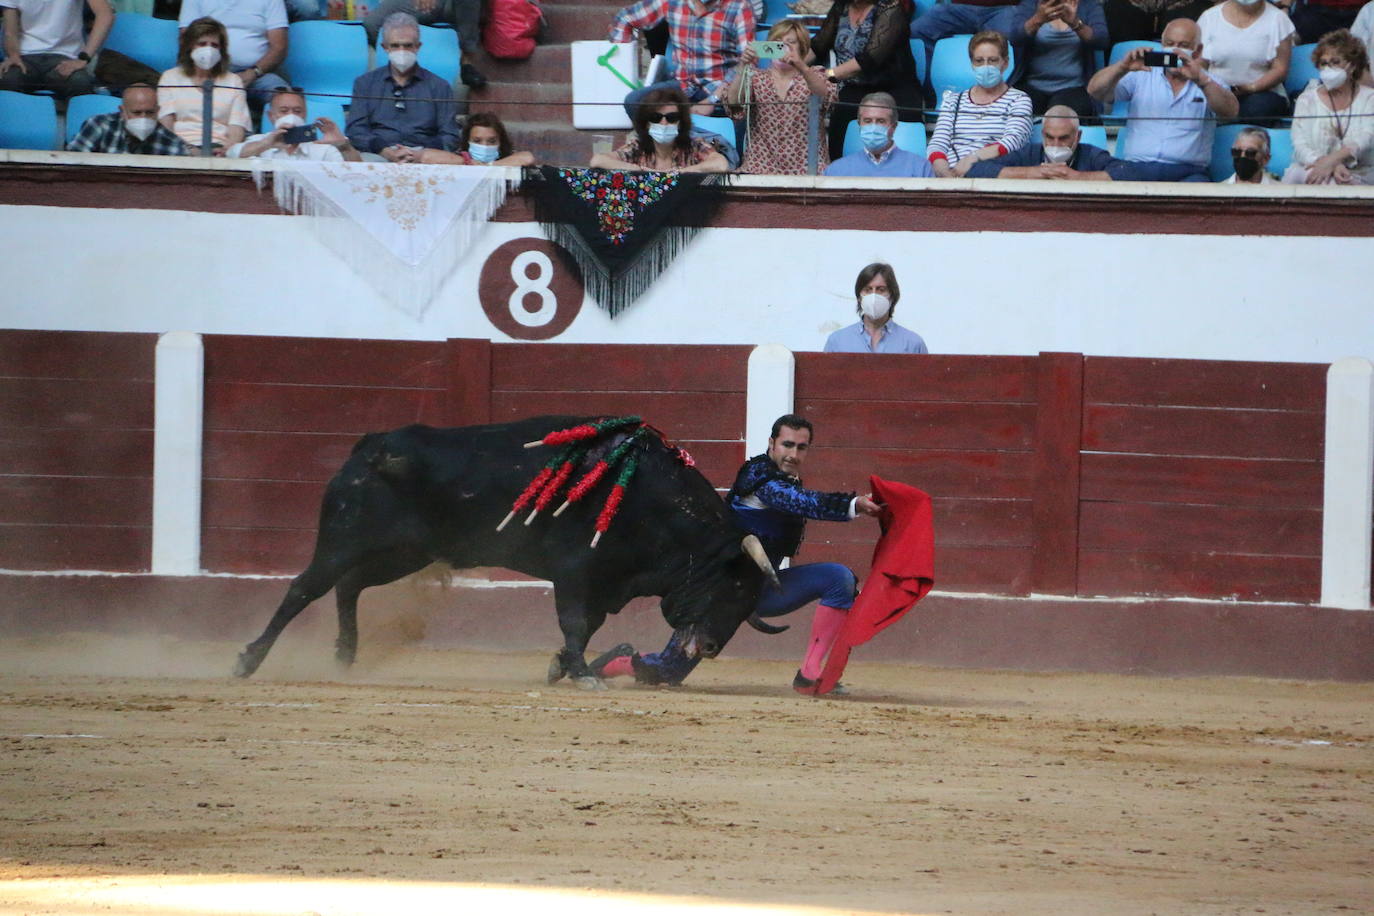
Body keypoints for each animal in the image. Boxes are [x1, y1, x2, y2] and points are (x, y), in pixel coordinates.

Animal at [236, 414, 785, 686]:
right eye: (735, 586)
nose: (710, 648)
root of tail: (373, 445)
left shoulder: (604, 582)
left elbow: (588, 626)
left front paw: (563, 667)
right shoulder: (575, 570)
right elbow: (575, 622)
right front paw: (582, 675)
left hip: (404, 552)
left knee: (349, 585)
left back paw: (345, 656)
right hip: (344, 538)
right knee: (304, 588)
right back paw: (248, 661)